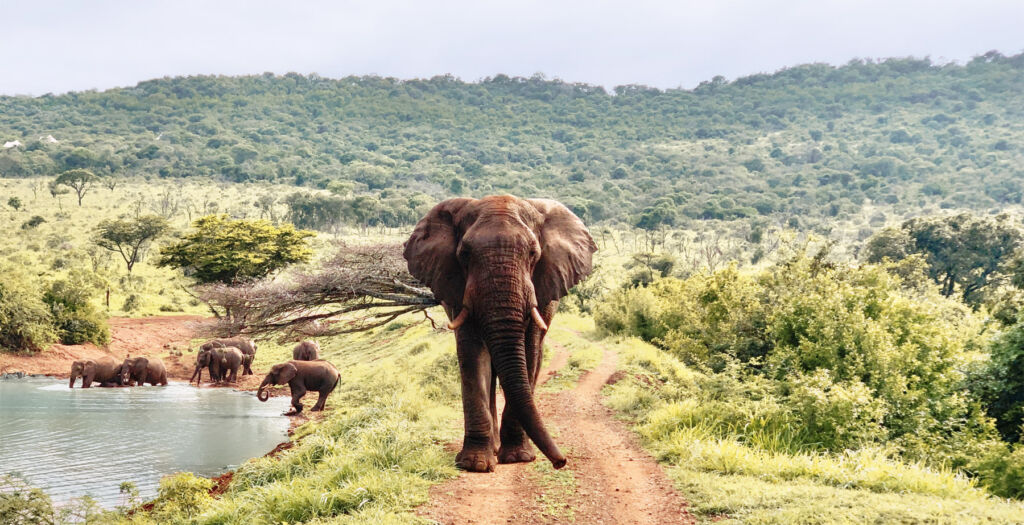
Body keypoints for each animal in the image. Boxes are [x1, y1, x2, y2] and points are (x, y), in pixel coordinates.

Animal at [403, 196, 596, 472]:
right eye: (464, 254)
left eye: (533, 254)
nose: (561, 462)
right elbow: (472, 356)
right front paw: (475, 464)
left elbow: (528, 353)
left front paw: (518, 457)